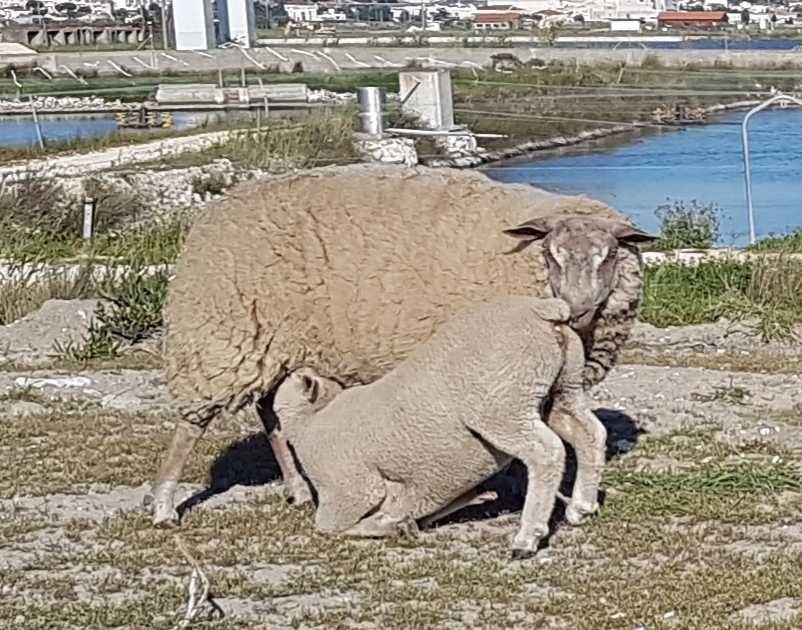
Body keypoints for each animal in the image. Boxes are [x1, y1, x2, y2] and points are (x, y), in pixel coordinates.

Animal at [147, 164, 652, 528]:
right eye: (551, 254)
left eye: (609, 255)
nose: (576, 308)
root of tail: (212, 211)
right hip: (218, 340)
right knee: (191, 426)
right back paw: (164, 506)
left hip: (275, 344)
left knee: (271, 412)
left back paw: (297, 489)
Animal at [274, 296, 600, 556]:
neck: (311, 421)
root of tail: (542, 309)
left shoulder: (347, 491)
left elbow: (330, 527)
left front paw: (393, 525)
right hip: (562, 386)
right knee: (588, 432)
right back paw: (581, 507)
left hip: (502, 405)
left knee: (546, 452)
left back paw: (527, 537)